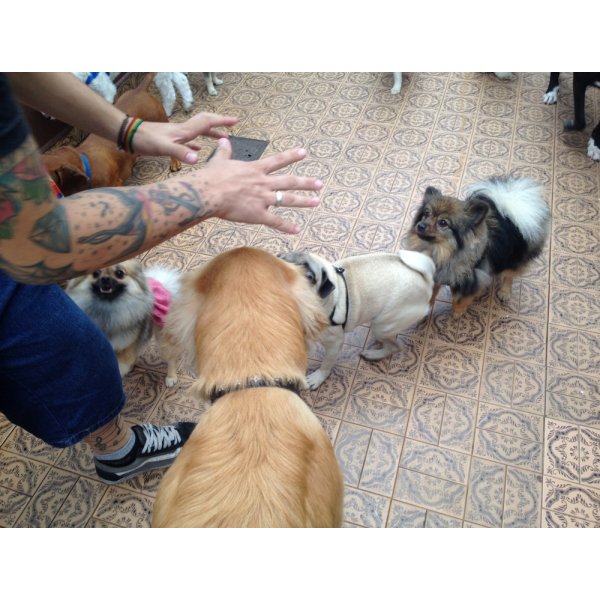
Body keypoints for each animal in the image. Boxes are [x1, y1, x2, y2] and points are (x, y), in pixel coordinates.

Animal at [282, 250, 436, 386]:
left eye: (310, 278)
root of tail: (425, 281)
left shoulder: (335, 343)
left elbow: (326, 364)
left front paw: (318, 377)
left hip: (381, 326)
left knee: (395, 346)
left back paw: (374, 354)